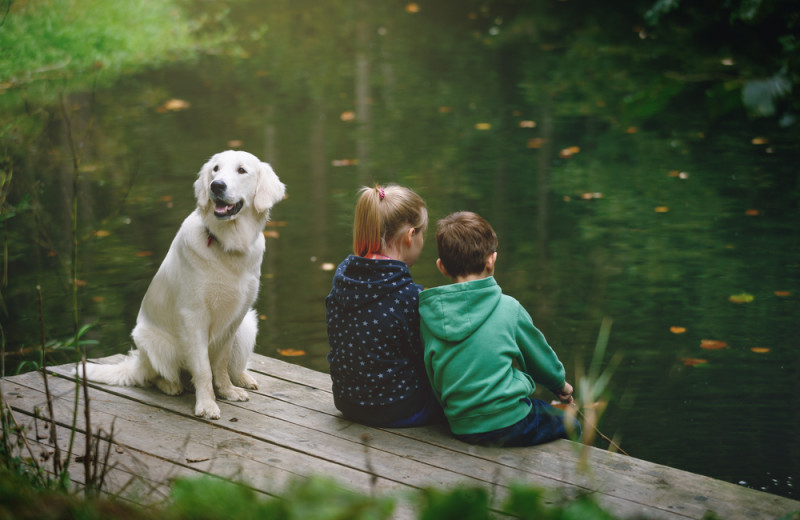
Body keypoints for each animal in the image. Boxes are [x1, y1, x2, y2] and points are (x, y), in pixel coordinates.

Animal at [79, 149, 286, 418]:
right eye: (216, 169)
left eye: (242, 170)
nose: (216, 185)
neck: (226, 244)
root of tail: (139, 362)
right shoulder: (194, 316)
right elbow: (204, 370)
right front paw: (207, 405)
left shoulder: (235, 317)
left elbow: (220, 363)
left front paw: (227, 391)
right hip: (151, 340)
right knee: (154, 375)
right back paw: (170, 385)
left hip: (248, 325)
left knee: (233, 366)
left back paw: (242, 378)